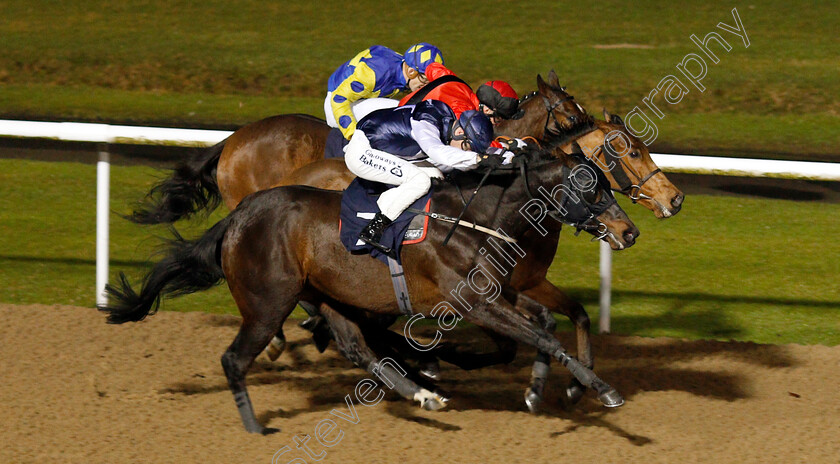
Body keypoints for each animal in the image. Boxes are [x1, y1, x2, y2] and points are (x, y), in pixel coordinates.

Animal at [100, 150, 636, 436]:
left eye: (608, 184)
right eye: (590, 188)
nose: (629, 232)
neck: (474, 218)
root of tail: (237, 217)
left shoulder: (498, 293)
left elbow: (546, 326)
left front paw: (555, 388)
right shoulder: (475, 301)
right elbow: (542, 335)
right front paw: (603, 390)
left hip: (328, 295)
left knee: (357, 347)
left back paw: (424, 394)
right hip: (269, 303)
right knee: (235, 359)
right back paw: (255, 427)